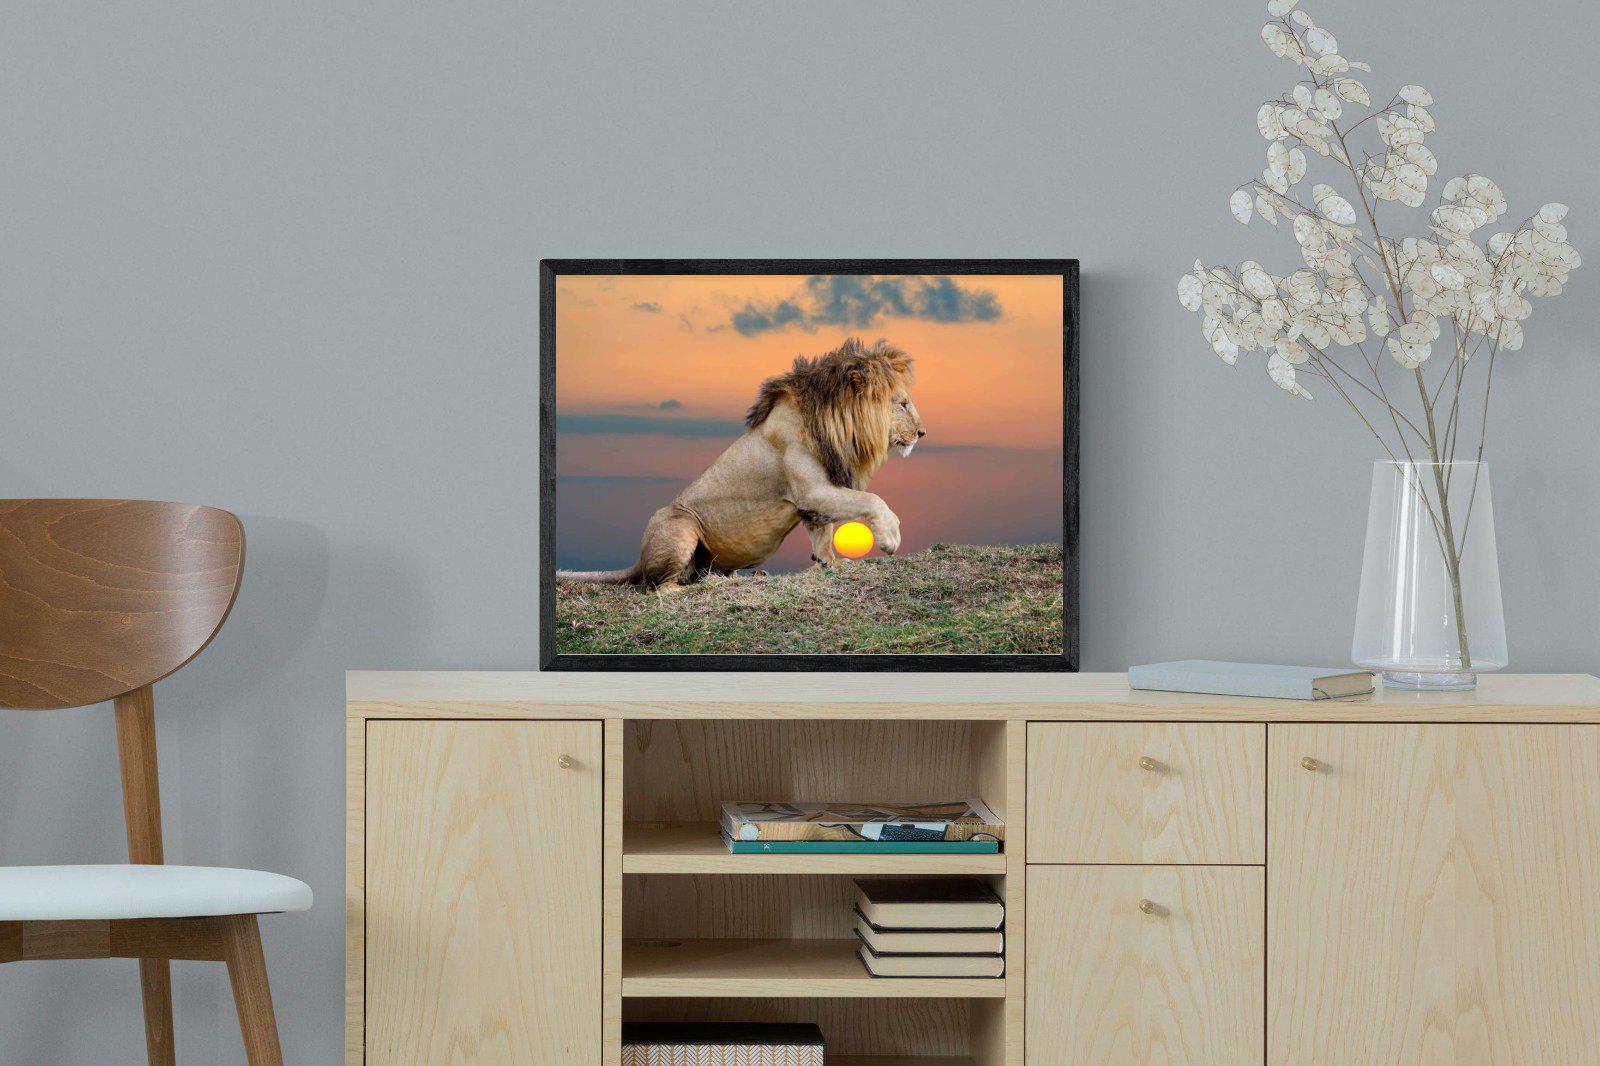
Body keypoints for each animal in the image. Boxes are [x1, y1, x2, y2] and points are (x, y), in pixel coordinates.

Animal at [558, 337, 926, 591]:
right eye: (903, 403)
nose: (922, 433)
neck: (834, 426)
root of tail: (639, 559)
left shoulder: (814, 498)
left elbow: (822, 533)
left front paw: (829, 563)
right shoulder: (812, 490)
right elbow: (871, 500)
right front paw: (890, 537)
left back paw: (743, 576)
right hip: (681, 524)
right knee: (658, 588)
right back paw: (706, 586)